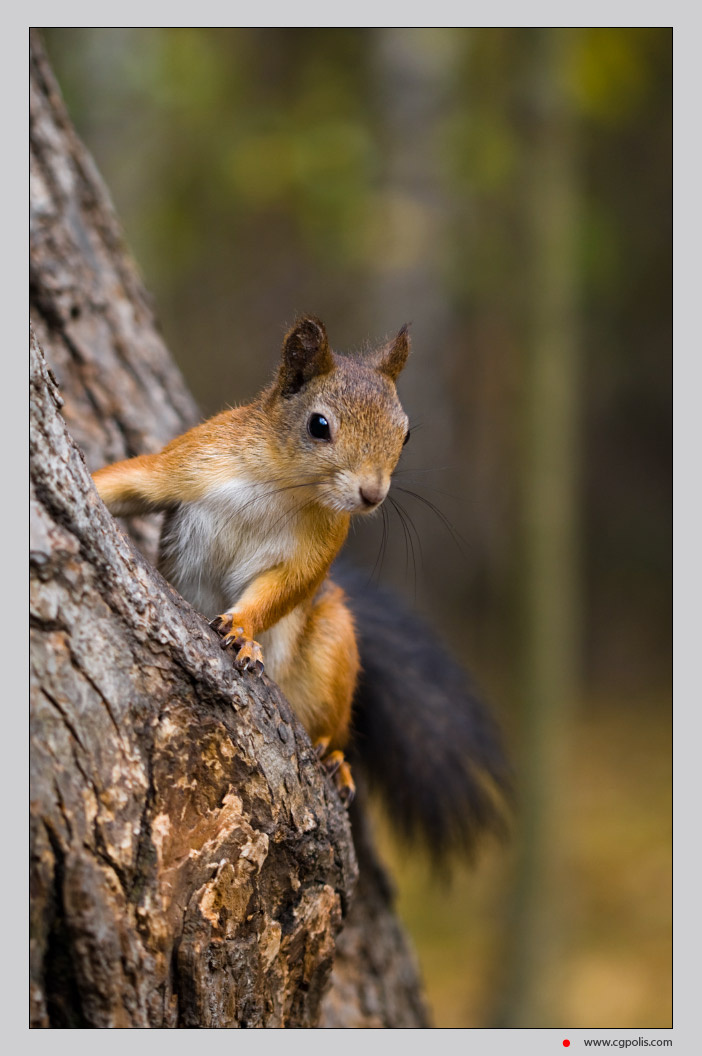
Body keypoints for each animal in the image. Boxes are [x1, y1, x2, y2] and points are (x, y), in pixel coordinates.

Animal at [93, 316, 510, 852]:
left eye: (405, 435)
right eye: (319, 425)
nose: (372, 494)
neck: (283, 484)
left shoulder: (316, 552)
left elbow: (281, 592)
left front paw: (243, 629)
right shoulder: (191, 460)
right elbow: (133, 480)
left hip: (331, 646)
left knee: (330, 726)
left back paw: (335, 759)